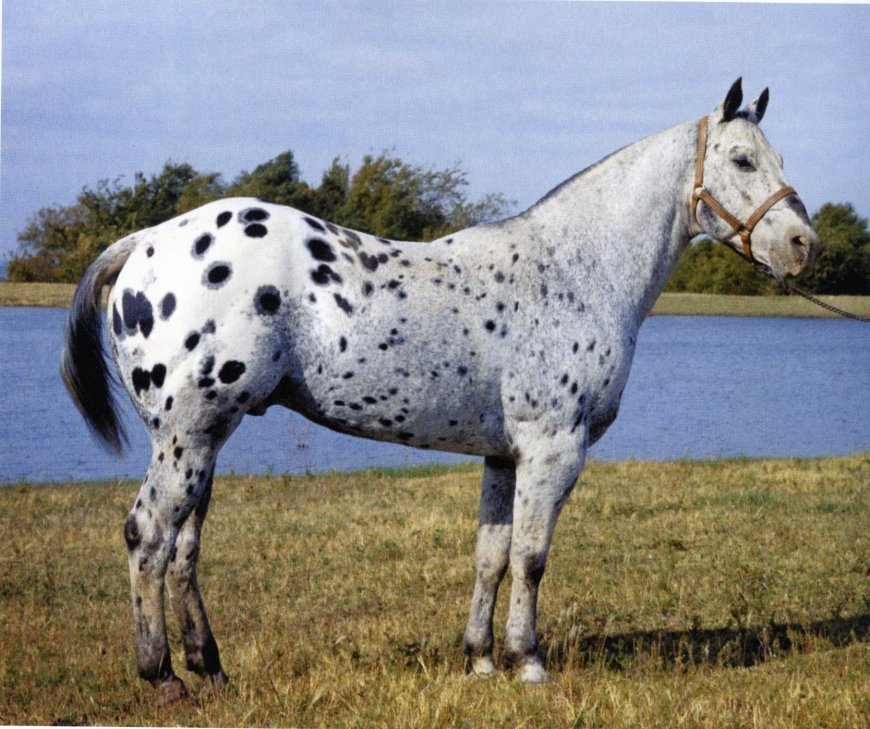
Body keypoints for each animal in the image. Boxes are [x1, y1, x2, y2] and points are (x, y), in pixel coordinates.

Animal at [62, 79, 819, 703]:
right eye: (742, 160)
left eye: (778, 157)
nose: (802, 246)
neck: (577, 268)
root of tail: (143, 242)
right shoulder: (553, 448)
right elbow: (531, 558)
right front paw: (529, 662)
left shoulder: (505, 454)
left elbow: (491, 554)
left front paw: (480, 659)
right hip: (187, 436)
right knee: (149, 535)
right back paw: (163, 678)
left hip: (205, 438)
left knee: (184, 548)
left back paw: (210, 669)